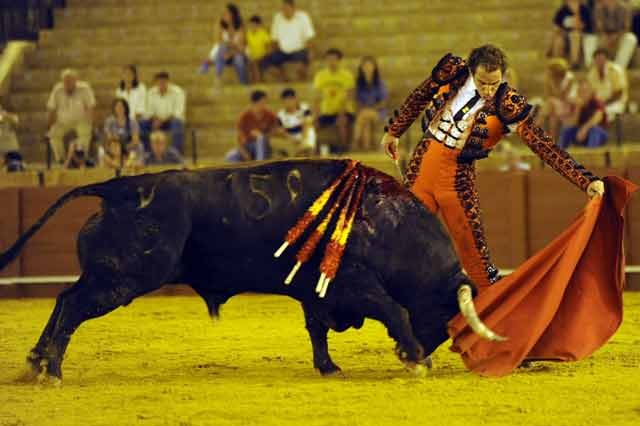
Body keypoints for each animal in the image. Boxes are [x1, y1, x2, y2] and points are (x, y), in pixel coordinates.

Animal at [0, 159, 504, 382]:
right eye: (444, 314)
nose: (426, 348)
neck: (386, 222)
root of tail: (121, 187)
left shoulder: (316, 291)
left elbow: (316, 328)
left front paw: (328, 367)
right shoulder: (354, 282)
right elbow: (393, 309)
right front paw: (416, 359)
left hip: (110, 274)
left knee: (65, 299)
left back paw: (36, 361)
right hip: (125, 277)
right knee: (74, 305)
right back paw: (52, 370)